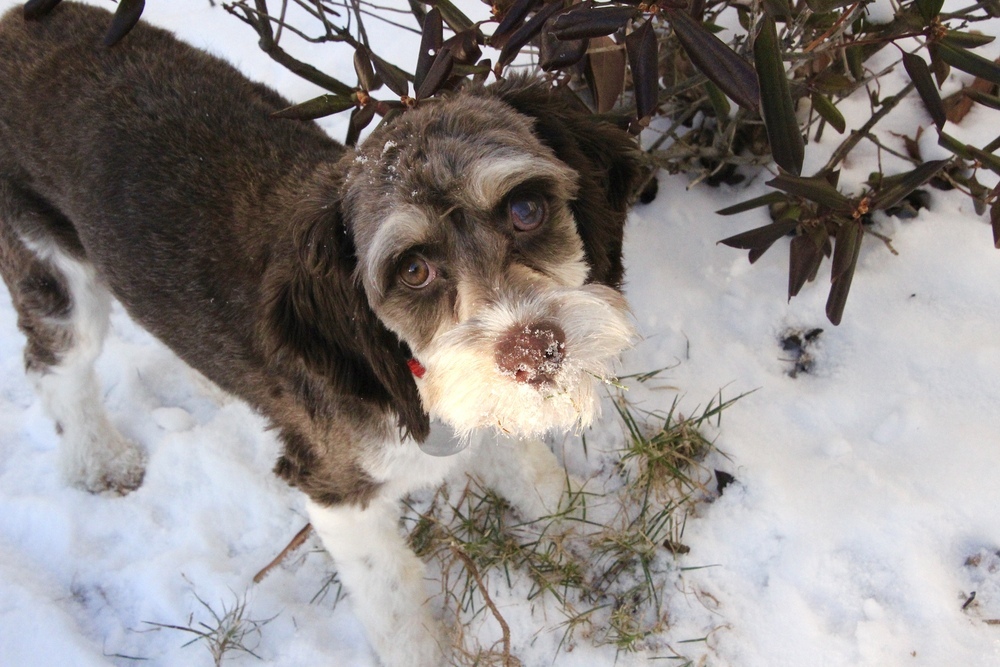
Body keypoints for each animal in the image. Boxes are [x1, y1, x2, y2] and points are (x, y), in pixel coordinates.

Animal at [0, 2, 640, 664]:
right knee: (52, 365)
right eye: (412, 270)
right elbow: (396, 606)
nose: (534, 352)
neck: (403, 371)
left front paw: (588, 537)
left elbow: (535, 477)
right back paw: (99, 460)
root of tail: (21, 22)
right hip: (50, 269)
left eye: (525, 210)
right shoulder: (339, 494)